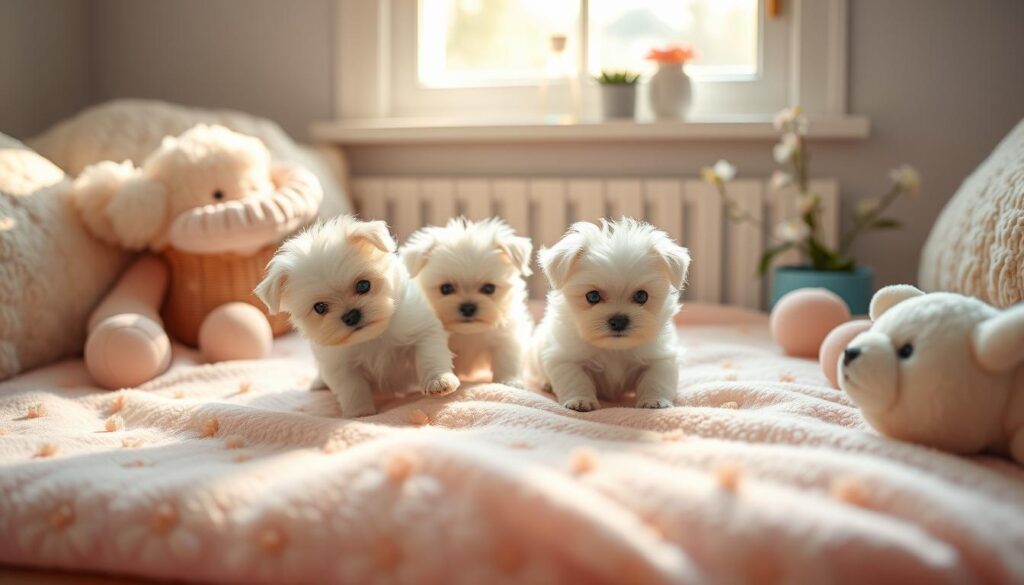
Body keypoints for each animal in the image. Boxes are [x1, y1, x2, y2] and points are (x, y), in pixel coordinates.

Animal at [256, 215, 460, 415]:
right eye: (320, 307)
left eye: (363, 285)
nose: (351, 315)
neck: (372, 337)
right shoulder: (339, 364)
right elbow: (352, 388)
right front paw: (360, 413)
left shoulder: (422, 329)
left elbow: (430, 356)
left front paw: (439, 381)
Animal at [397, 217, 532, 387]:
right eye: (446, 288)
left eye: (489, 288)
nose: (468, 307)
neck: (468, 333)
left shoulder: (508, 334)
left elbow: (507, 358)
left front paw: (509, 381)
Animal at [528, 216, 688, 411]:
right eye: (593, 296)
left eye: (642, 296)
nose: (619, 321)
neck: (614, 349)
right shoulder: (565, 358)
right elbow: (575, 379)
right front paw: (580, 400)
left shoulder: (661, 357)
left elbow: (656, 380)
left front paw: (655, 401)